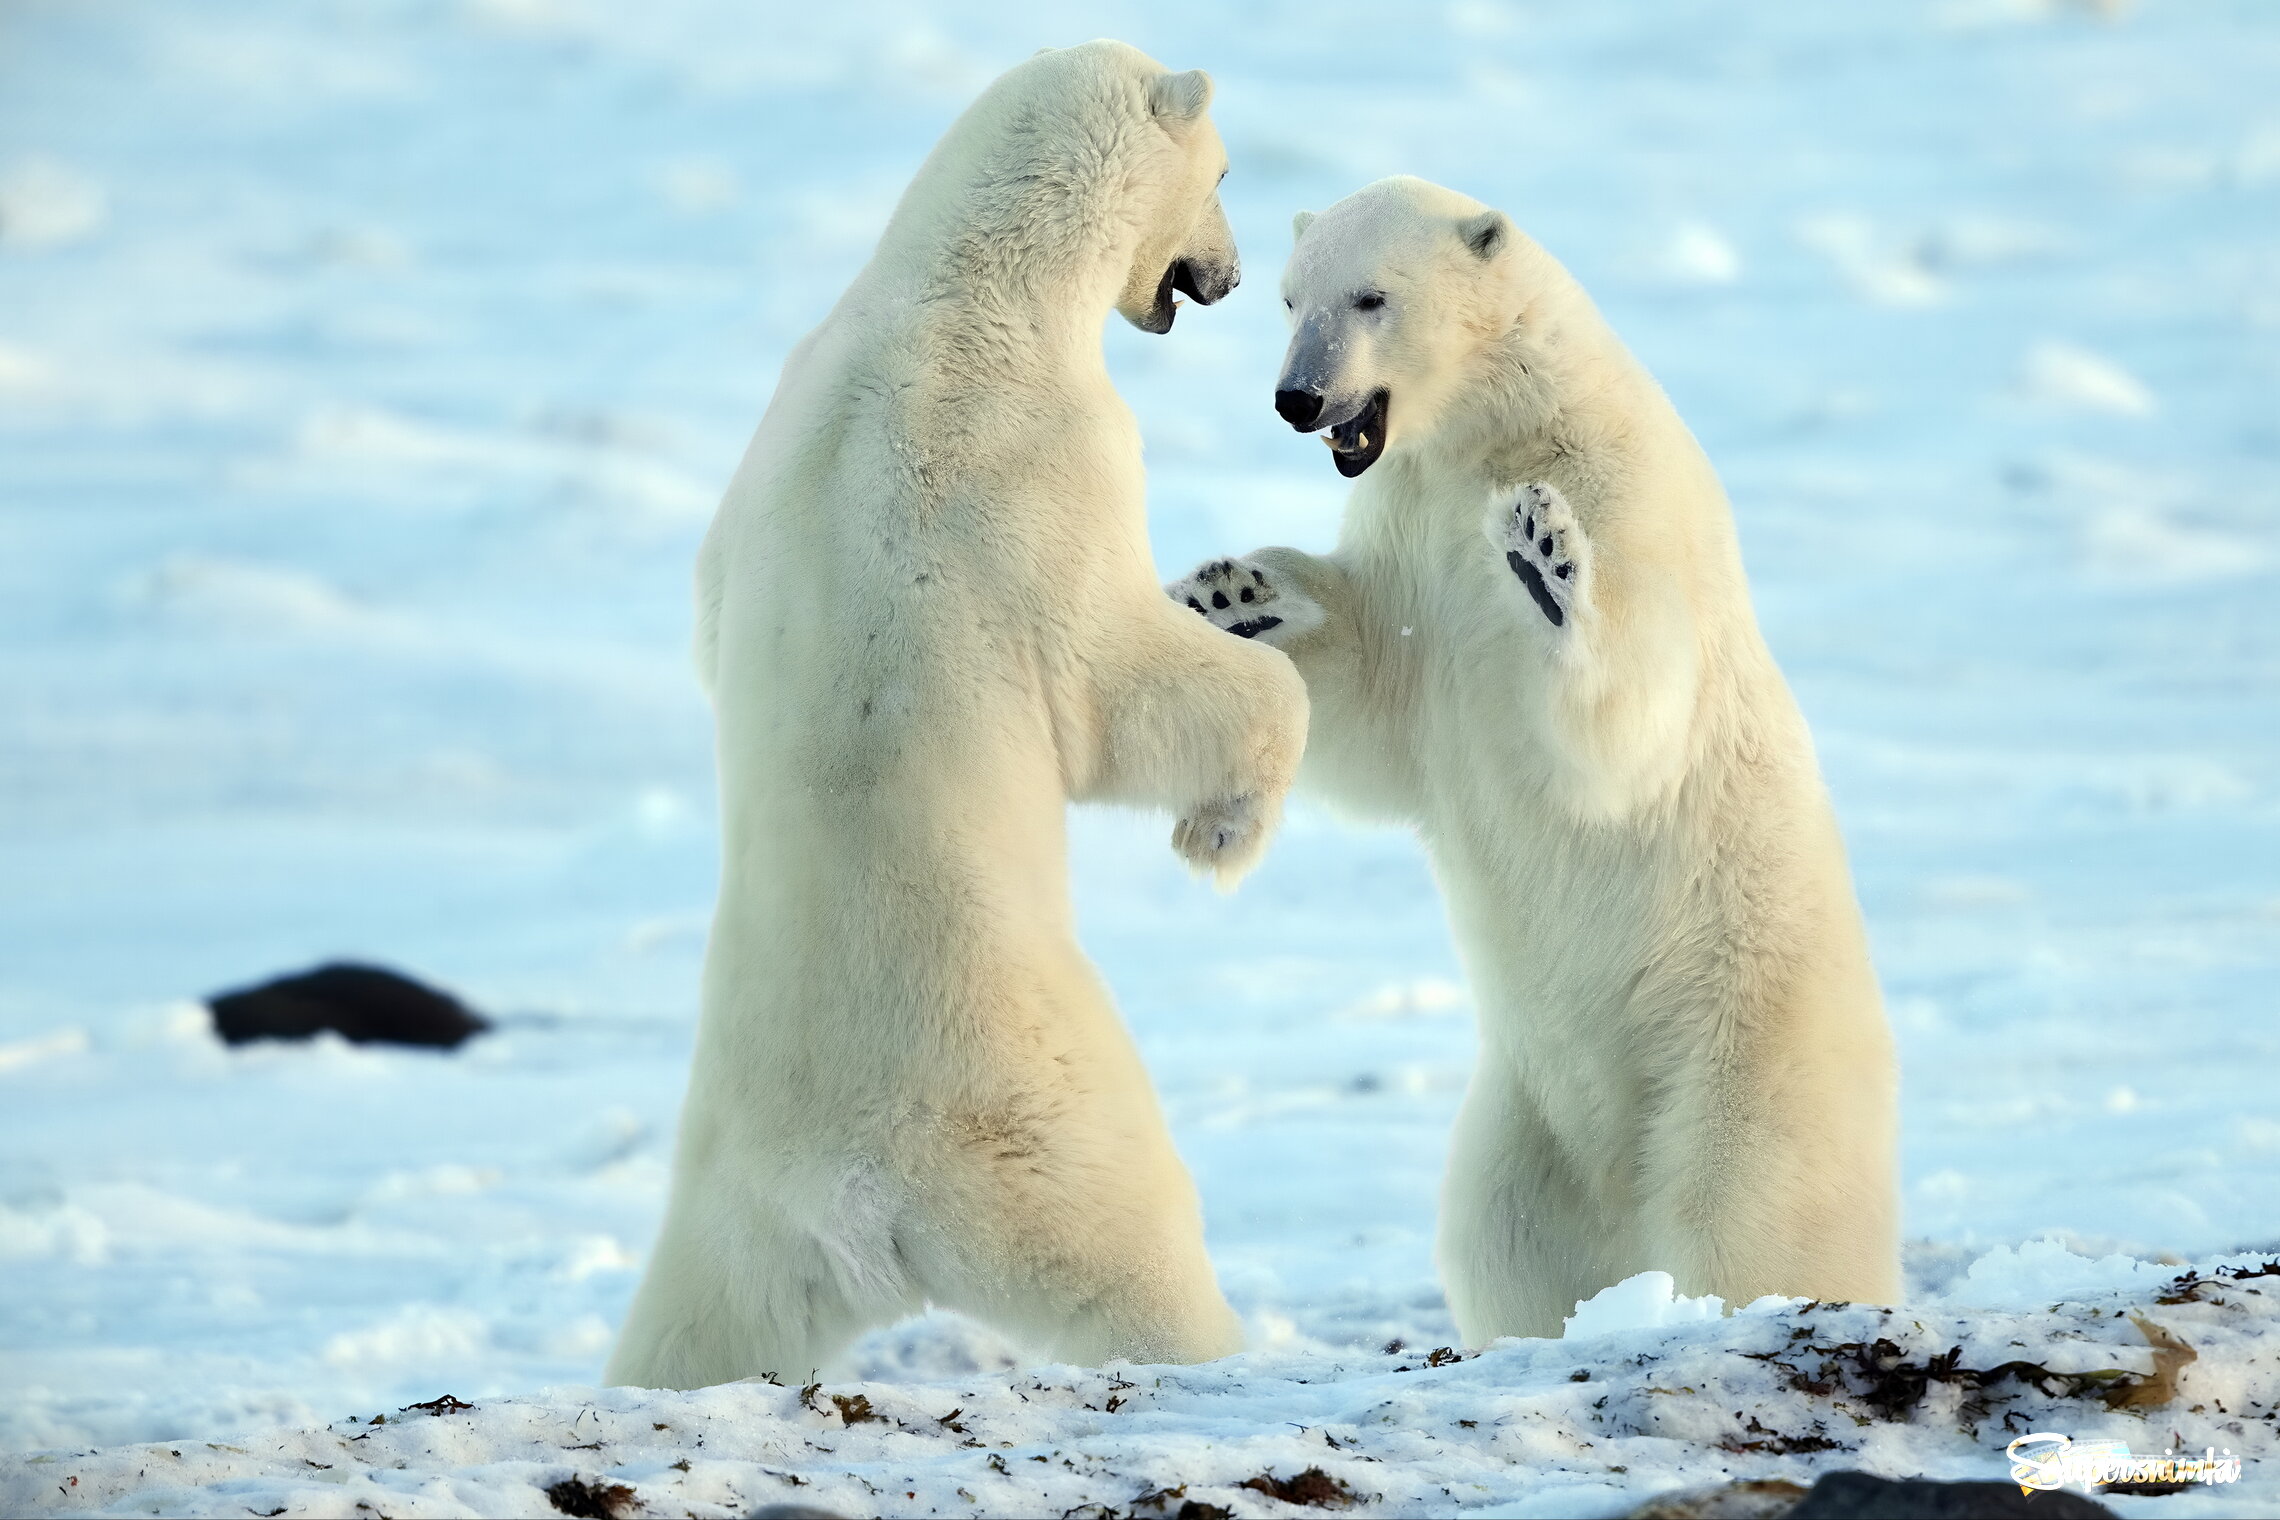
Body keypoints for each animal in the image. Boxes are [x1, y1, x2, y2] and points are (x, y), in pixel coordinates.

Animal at [606, 38, 1313, 1394]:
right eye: (1226, 174)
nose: (1233, 274)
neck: (959, 282)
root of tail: (867, 1203)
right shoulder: (1046, 459)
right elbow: (1111, 685)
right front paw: (1222, 827)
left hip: (735, 1208)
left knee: (694, 1323)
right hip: (1050, 1113)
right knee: (1137, 1251)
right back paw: (1219, 1349)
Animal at [1167, 175, 1896, 1339]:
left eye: (1371, 296)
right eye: (1288, 298)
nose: (1297, 398)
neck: (1493, 424)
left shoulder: (1620, 489)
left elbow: (1629, 714)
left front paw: (1543, 562)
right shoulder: (1408, 526)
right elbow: (1375, 702)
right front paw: (1237, 593)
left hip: (1739, 1046)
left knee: (1750, 1216)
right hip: (1525, 1121)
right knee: (1504, 1243)